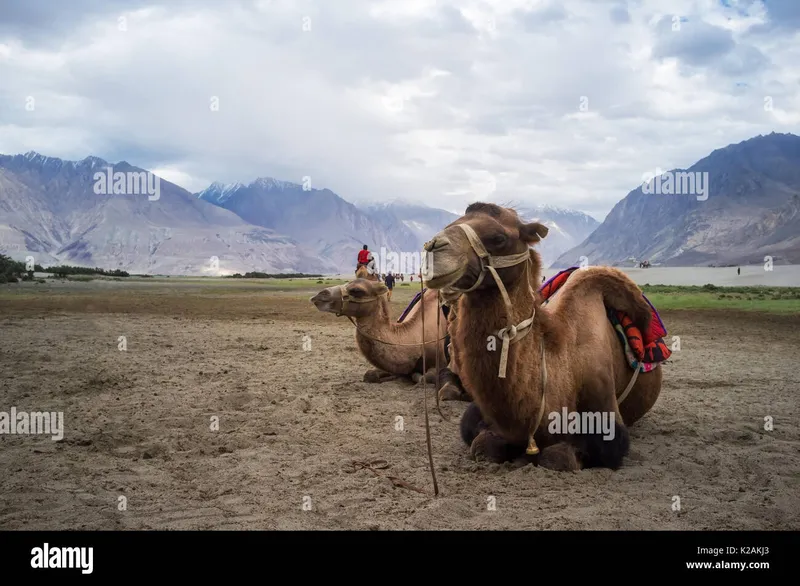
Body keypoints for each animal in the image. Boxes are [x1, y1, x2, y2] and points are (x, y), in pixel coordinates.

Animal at [422, 202, 664, 470]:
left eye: (499, 237)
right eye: (449, 224)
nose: (433, 247)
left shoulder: (609, 429)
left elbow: (558, 457)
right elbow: (480, 444)